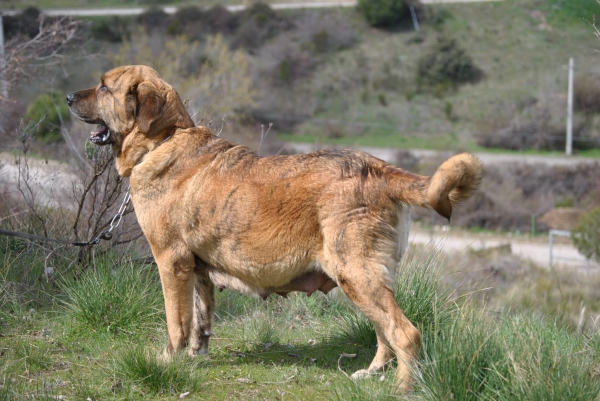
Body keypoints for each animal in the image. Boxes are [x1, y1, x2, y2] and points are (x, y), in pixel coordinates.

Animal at [68, 65, 482, 388]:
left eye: (104, 86)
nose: (69, 96)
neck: (163, 139)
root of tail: (379, 168)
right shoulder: (197, 270)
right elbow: (201, 318)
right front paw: (196, 355)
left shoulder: (171, 263)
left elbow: (177, 322)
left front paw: (168, 360)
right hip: (366, 279)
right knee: (385, 332)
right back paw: (373, 373)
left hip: (357, 274)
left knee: (404, 333)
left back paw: (401, 388)